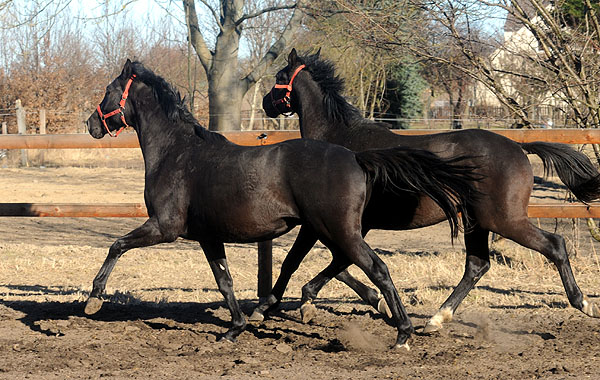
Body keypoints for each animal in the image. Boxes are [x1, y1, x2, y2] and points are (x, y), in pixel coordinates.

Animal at [83, 59, 482, 348]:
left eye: (108, 91)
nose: (91, 125)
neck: (178, 153)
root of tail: (355, 158)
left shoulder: (164, 227)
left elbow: (116, 246)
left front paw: (93, 299)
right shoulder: (208, 236)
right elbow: (224, 281)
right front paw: (235, 328)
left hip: (340, 230)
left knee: (378, 268)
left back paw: (404, 333)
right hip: (331, 230)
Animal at [256, 49, 600, 332]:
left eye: (279, 78)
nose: (264, 103)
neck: (337, 139)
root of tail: (518, 147)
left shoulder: (324, 222)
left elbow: (301, 261)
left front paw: (278, 306)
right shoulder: (346, 225)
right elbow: (340, 264)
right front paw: (374, 304)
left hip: (504, 219)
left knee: (554, 245)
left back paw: (583, 303)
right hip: (477, 221)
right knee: (477, 265)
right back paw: (437, 318)